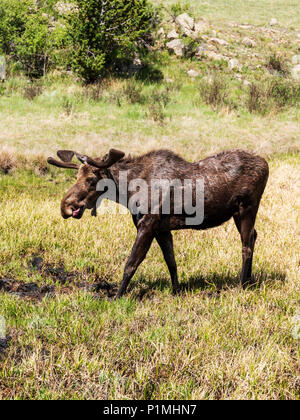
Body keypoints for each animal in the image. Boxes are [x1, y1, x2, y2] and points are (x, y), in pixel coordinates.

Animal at [47, 148, 270, 298]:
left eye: (92, 180)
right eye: (76, 176)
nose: (66, 206)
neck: (127, 192)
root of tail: (266, 164)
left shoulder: (148, 224)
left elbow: (131, 263)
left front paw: (117, 296)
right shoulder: (161, 229)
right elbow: (171, 261)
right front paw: (176, 291)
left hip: (247, 207)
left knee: (246, 245)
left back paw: (242, 284)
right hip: (237, 213)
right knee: (254, 236)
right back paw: (249, 281)